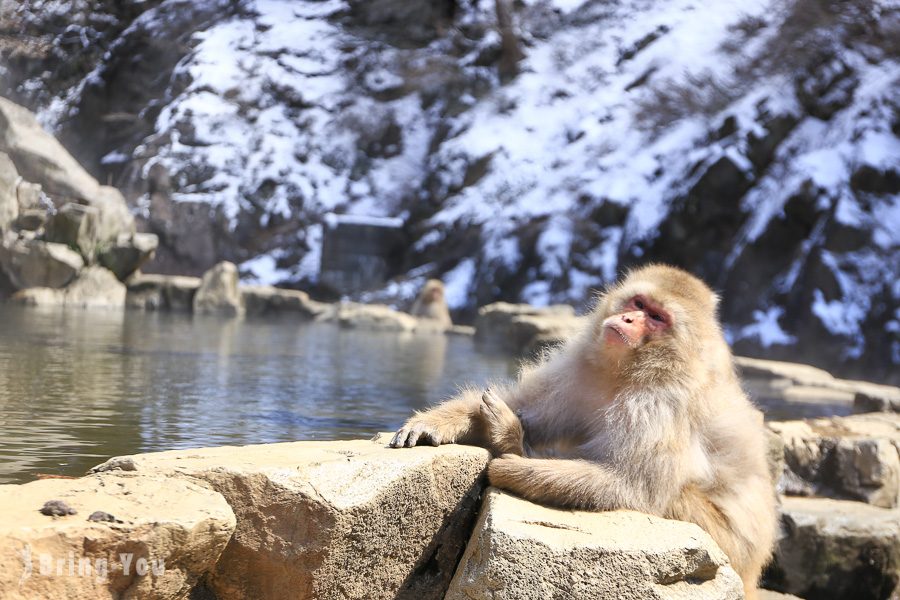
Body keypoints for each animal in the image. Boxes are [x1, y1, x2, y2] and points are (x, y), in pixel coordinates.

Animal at [390, 264, 776, 596]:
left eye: (656, 318)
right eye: (638, 304)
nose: (628, 318)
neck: (627, 372)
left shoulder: (661, 405)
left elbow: (631, 486)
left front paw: (510, 467)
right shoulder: (577, 371)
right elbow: (519, 402)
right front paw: (432, 424)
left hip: (725, 546)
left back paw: (513, 444)